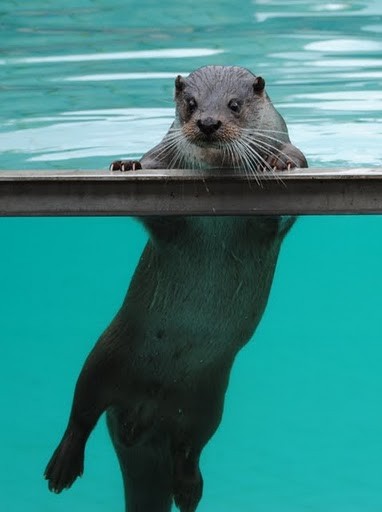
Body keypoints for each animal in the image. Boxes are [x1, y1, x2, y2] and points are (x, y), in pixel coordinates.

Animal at [44, 67, 308, 512]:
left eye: (234, 105)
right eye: (191, 104)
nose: (208, 123)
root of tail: (142, 421)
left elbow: (287, 184)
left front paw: (282, 161)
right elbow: (157, 199)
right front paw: (129, 163)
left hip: (208, 403)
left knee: (190, 449)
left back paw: (187, 490)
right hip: (107, 353)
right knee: (82, 411)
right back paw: (61, 467)